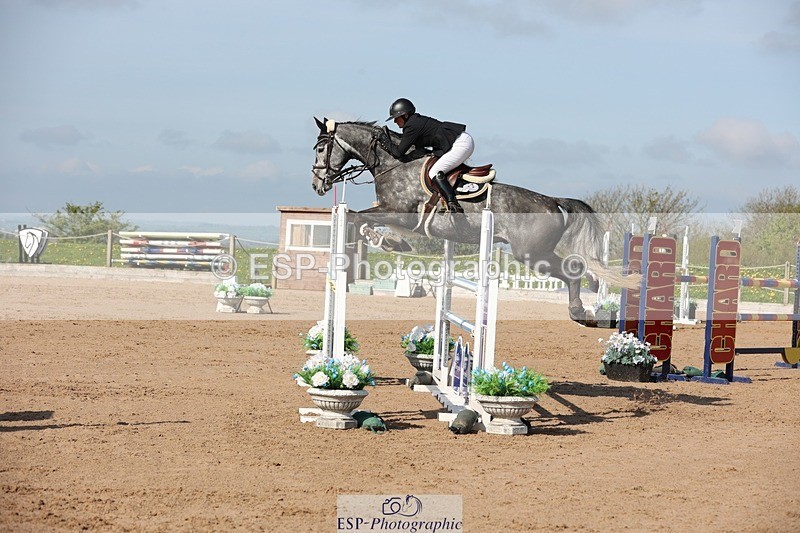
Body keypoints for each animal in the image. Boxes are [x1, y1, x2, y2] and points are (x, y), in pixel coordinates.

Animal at [310, 117, 636, 324]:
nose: (317, 186)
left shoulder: (399, 211)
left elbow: (357, 219)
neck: (392, 163)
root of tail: (553, 202)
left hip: (531, 253)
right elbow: (365, 220)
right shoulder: (395, 214)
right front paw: (392, 241)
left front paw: (386, 241)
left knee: (574, 270)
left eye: (321, 148)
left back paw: (578, 312)